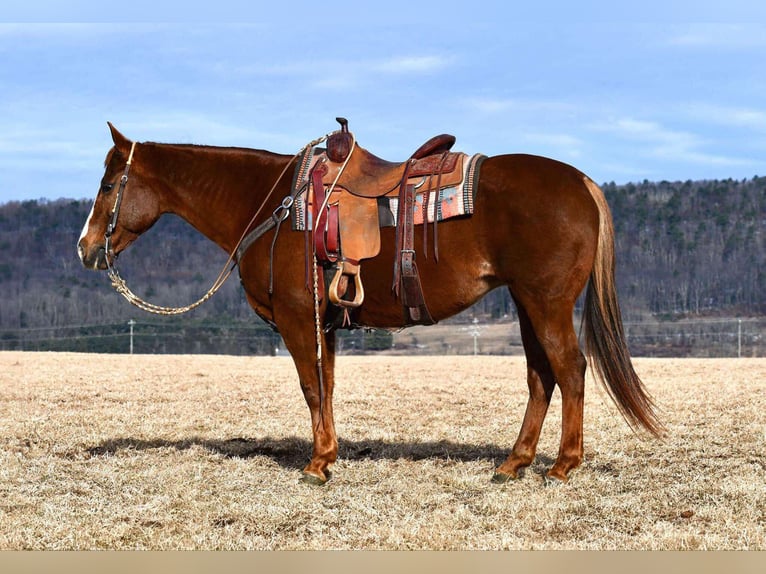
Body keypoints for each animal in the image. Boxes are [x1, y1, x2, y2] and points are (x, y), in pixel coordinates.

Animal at [79, 124, 664, 488]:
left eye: (109, 183)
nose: (86, 249)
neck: (270, 206)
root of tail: (582, 182)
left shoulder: (298, 317)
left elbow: (311, 386)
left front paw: (317, 465)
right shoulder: (326, 323)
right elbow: (327, 386)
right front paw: (329, 452)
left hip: (546, 301)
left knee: (569, 368)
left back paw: (562, 466)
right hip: (525, 302)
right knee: (541, 376)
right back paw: (513, 462)